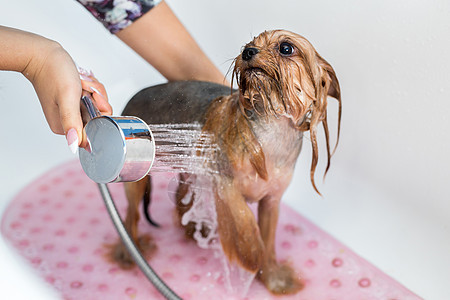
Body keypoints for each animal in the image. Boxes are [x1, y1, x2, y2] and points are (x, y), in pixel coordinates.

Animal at [109, 29, 342, 296]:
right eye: (250, 44)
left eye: (286, 48)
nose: (248, 52)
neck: (272, 129)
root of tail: (131, 101)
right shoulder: (225, 184)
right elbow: (245, 222)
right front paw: (251, 256)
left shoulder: (272, 201)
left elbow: (269, 241)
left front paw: (273, 279)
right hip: (135, 174)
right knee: (131, 217)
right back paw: (129, 253)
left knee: (179, 197)